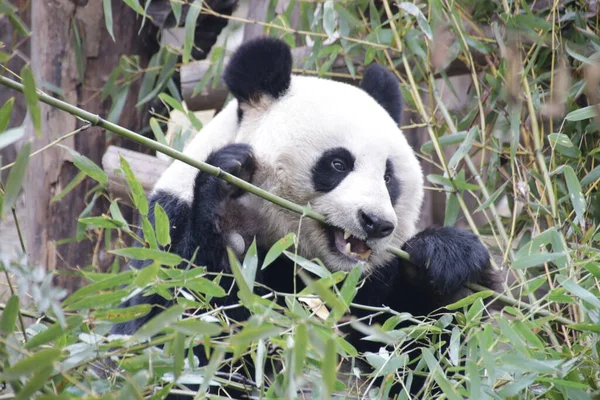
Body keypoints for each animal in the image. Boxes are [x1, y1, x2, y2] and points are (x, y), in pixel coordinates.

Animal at [115, 36, 500, 396]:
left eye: (389, 177)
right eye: (338, 163)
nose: (376, 223)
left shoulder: (367, 288)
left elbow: (427, 361)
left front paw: (446, 258)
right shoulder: (168, 222)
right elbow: (169, 341)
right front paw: (224, 204)